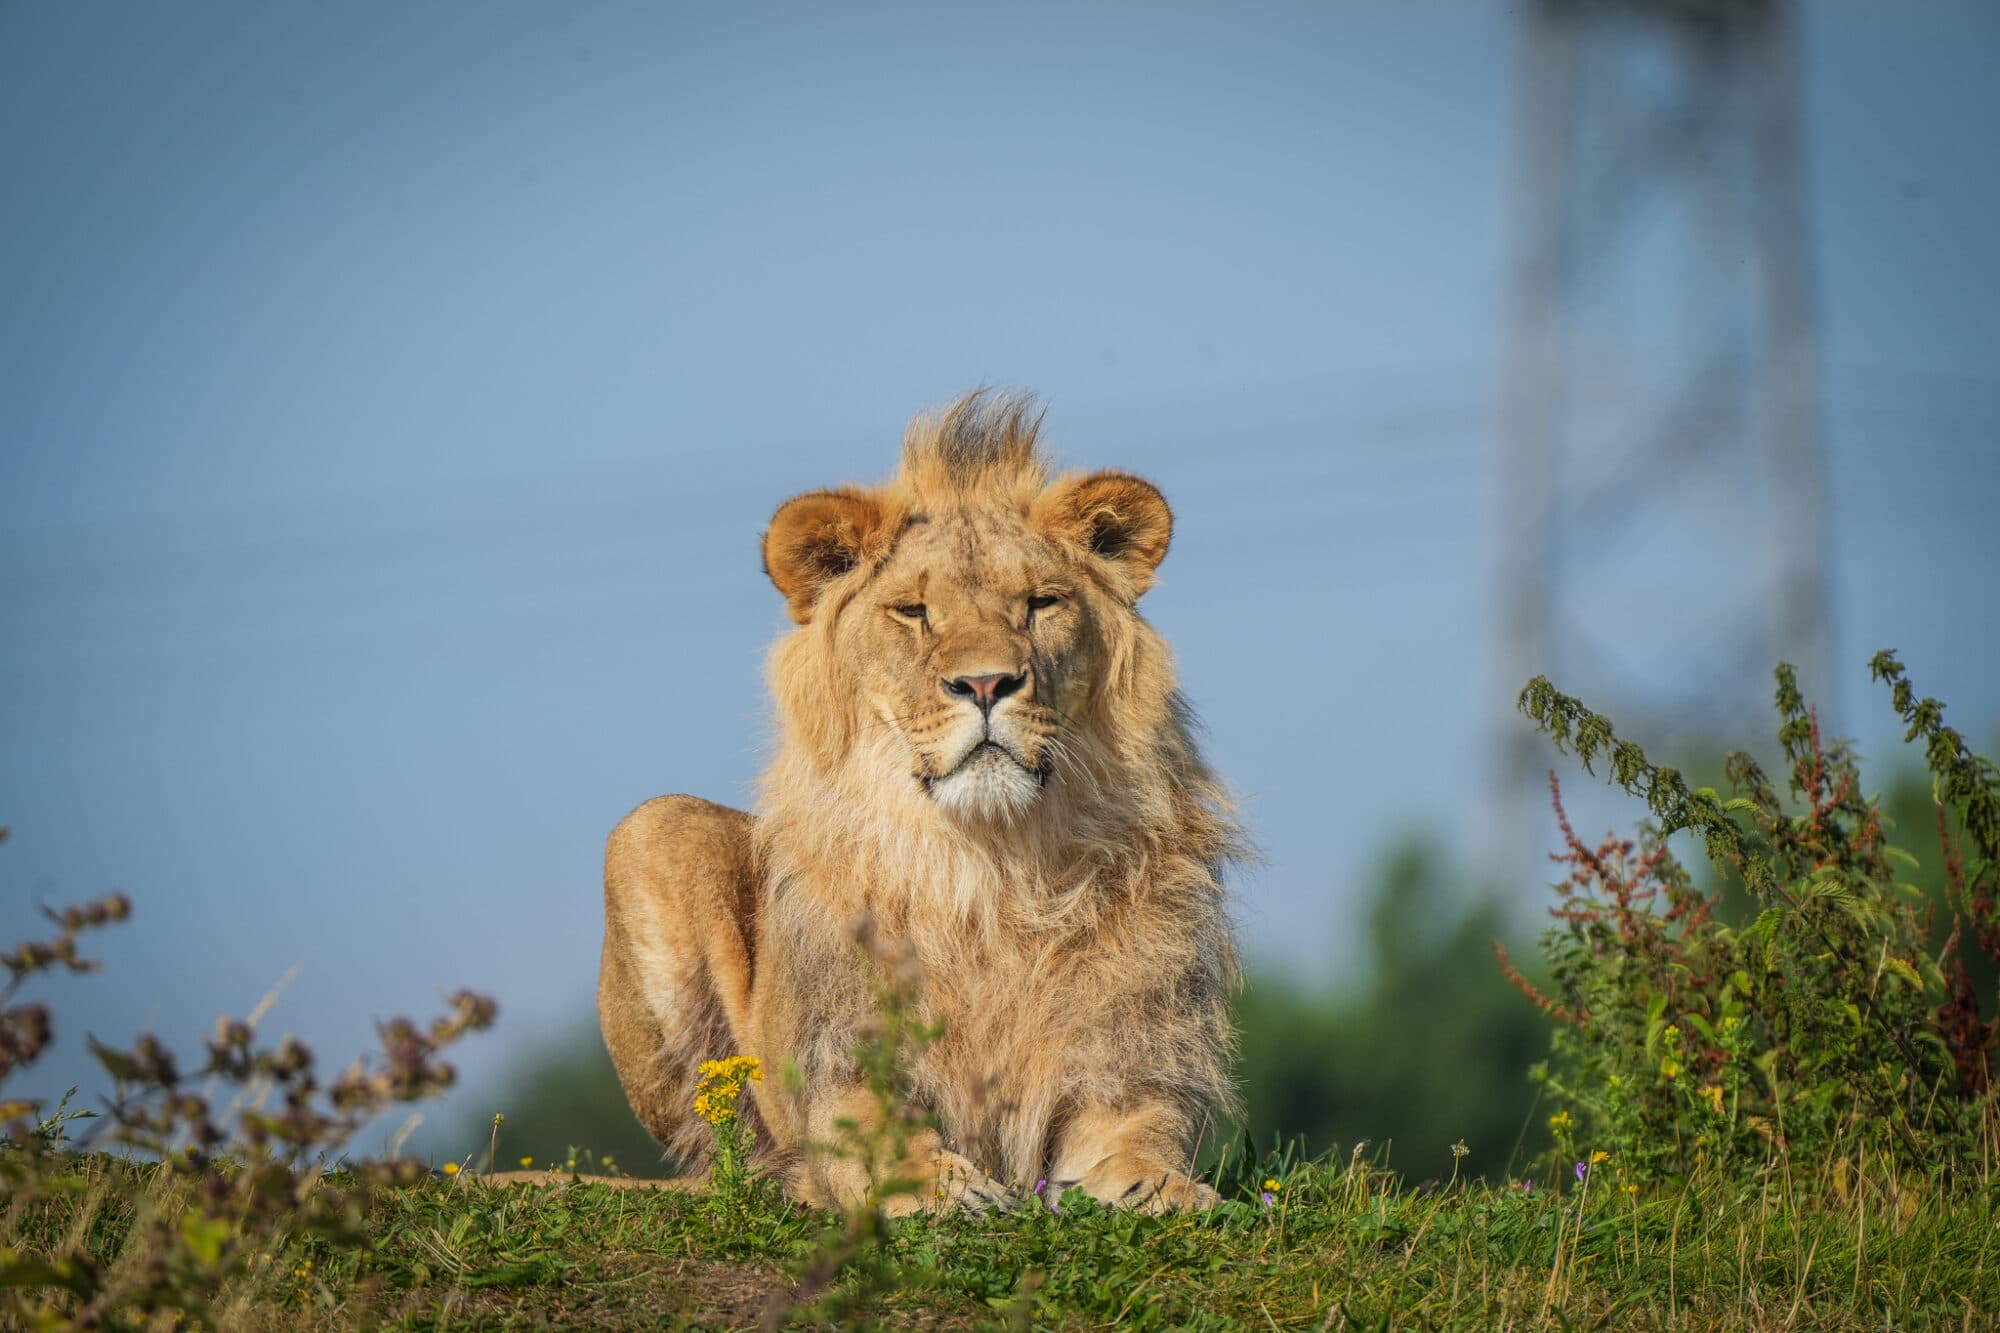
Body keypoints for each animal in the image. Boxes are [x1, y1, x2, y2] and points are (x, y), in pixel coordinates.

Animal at [597, 391, 1244, 1215]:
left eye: (1041, 603)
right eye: (912, 612)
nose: (987, 683)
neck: (992, 866)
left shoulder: (1129, 1063)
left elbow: (1136, 1143)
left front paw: (1165, 1191)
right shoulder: (842, 1066)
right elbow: (877, 1143)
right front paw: (947, 1190)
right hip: (650, 829)